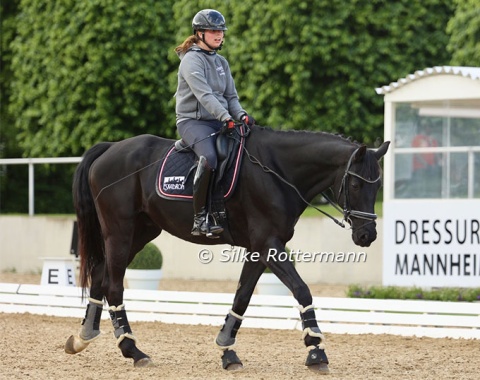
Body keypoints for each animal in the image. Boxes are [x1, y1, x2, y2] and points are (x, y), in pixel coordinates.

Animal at [63, 124, 388, 372]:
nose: (367, 235)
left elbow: (242, 297)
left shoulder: (260, 248)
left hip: (140, 233)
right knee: (114, 284)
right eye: (356, 185)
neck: (278, 171)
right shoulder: (269, 245)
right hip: (120, 231)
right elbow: (301, 290)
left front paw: (227, 350)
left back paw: (83, 337)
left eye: (378, 186)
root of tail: (110, 149)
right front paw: (316, 350)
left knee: (101, 275)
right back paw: (133, 350)